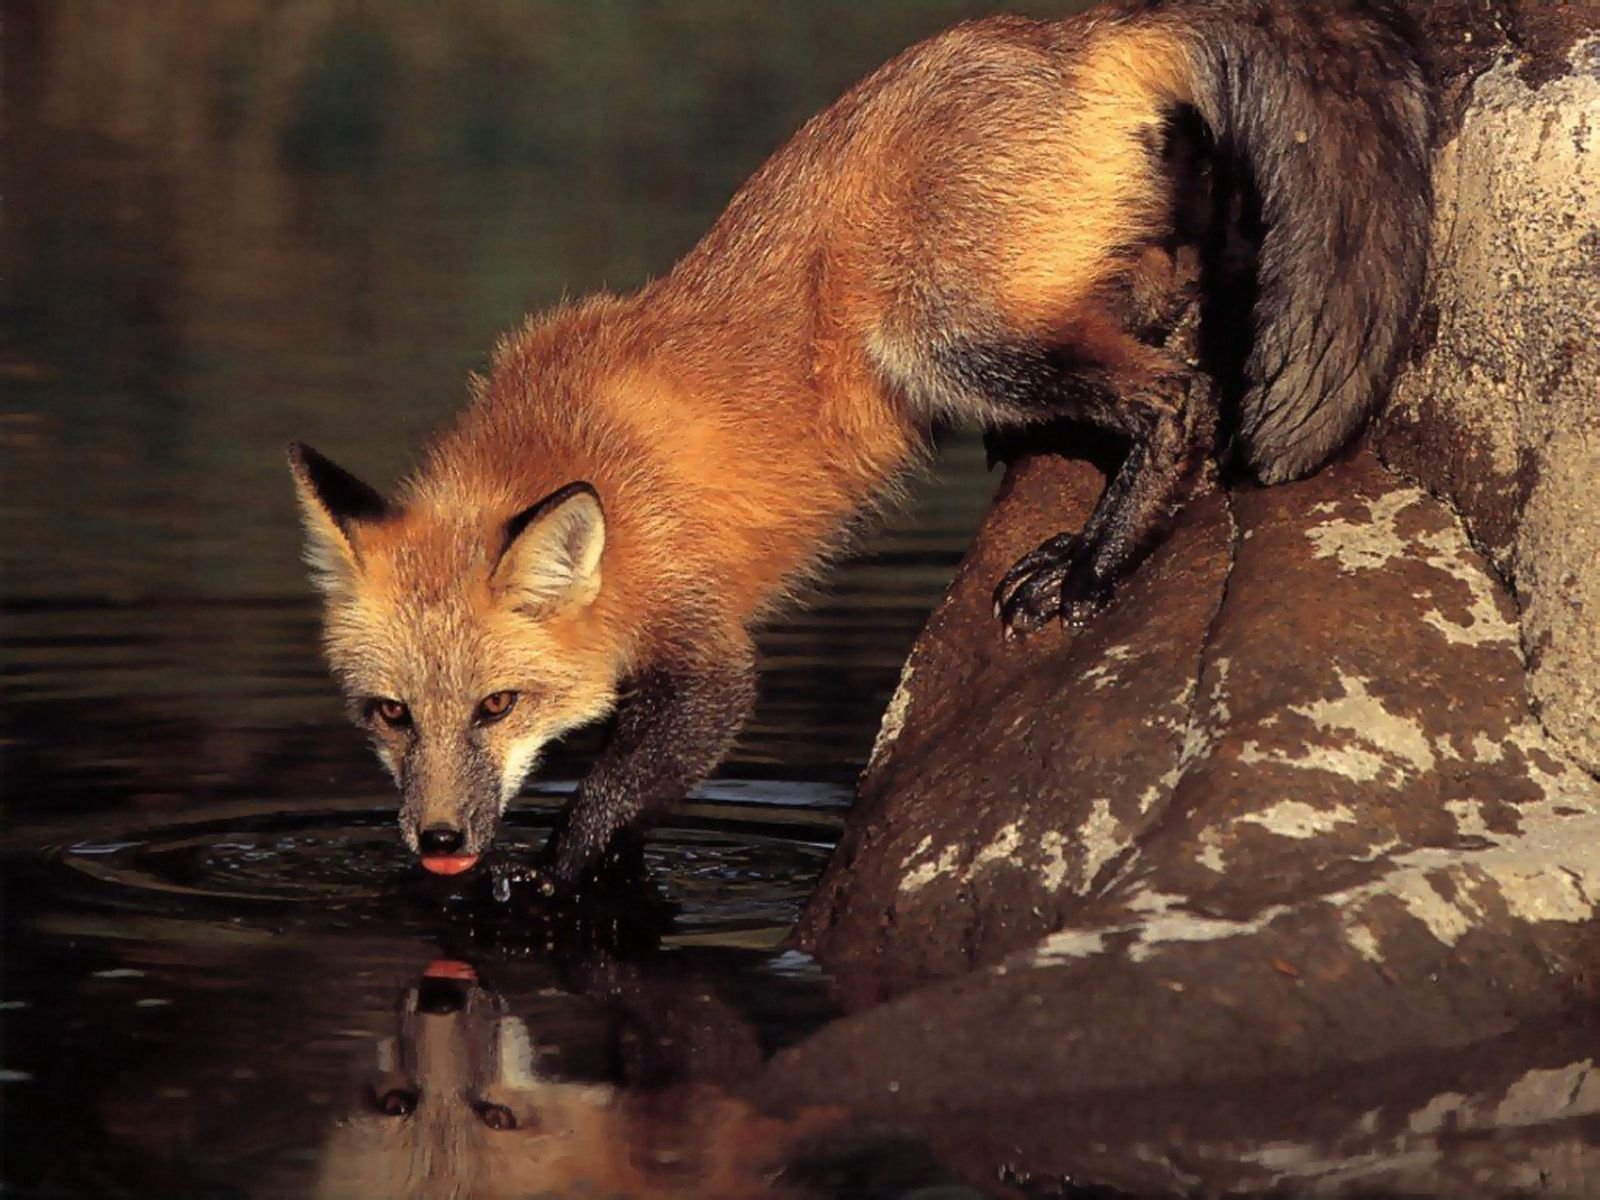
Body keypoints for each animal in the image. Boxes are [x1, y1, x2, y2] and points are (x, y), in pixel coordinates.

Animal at [291, 0, 1440, 883]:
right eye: (390, 716)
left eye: (497, 706)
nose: (440, 844)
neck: (571, 453)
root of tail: (1070, 29)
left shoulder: (699, 642)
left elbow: (634, 774)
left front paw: (550, 877)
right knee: (1167, 294)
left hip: (937, 335)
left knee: (1180, 396)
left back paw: (1095, 562)